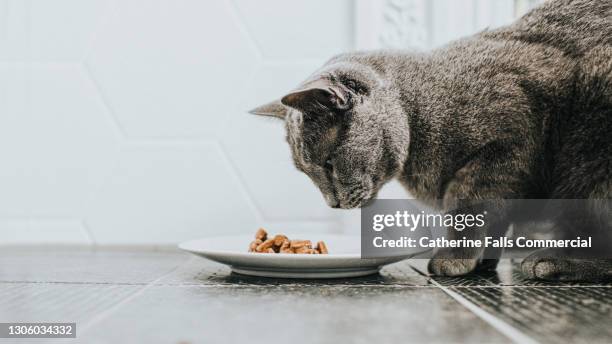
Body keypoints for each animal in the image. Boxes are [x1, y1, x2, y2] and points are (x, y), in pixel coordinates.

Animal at [250, 0, 612, 280]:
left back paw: (555, 262)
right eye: (307, 172)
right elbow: (493, 218)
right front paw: (481, 262)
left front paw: (454, 259)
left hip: (589, 149)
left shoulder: (507, 142)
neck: (417, 114)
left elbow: (466, 204)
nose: (332, 204)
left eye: (328, 163)